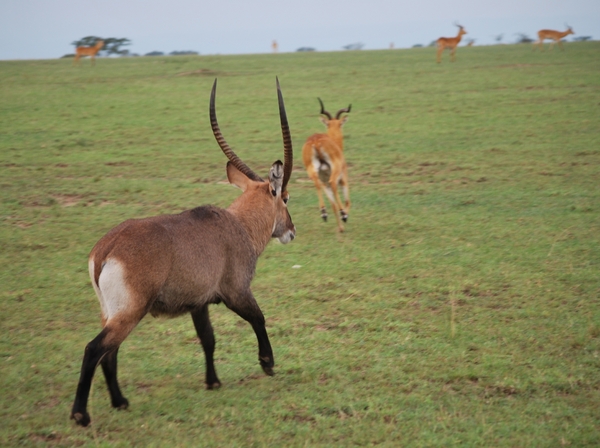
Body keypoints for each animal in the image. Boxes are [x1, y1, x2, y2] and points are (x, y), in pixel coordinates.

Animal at [70, 78, 296, 428]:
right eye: (285, 198)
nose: (291, 230)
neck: (239, 224)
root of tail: (106, 249)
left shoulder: (198, 303)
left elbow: (208, 338)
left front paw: (213, 382)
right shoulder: (236, 292)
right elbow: (258, 317)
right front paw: (267, 363)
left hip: (113, 312)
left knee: (110, 353)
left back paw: (120, 402)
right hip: (130, 312)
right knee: (95, 349)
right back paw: (81, 414)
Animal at [300, 98, 352, 231]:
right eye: (340, 124)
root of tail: (316, 142)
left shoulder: (325, 182)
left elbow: (333, 203)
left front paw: (340, 228)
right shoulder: (343, 179)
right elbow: (347, 201)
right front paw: (344, 216)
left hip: (313, 172)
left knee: (317, 184)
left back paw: (323, 213)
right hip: (335, 171)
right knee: (333, 183)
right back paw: (342, 214)